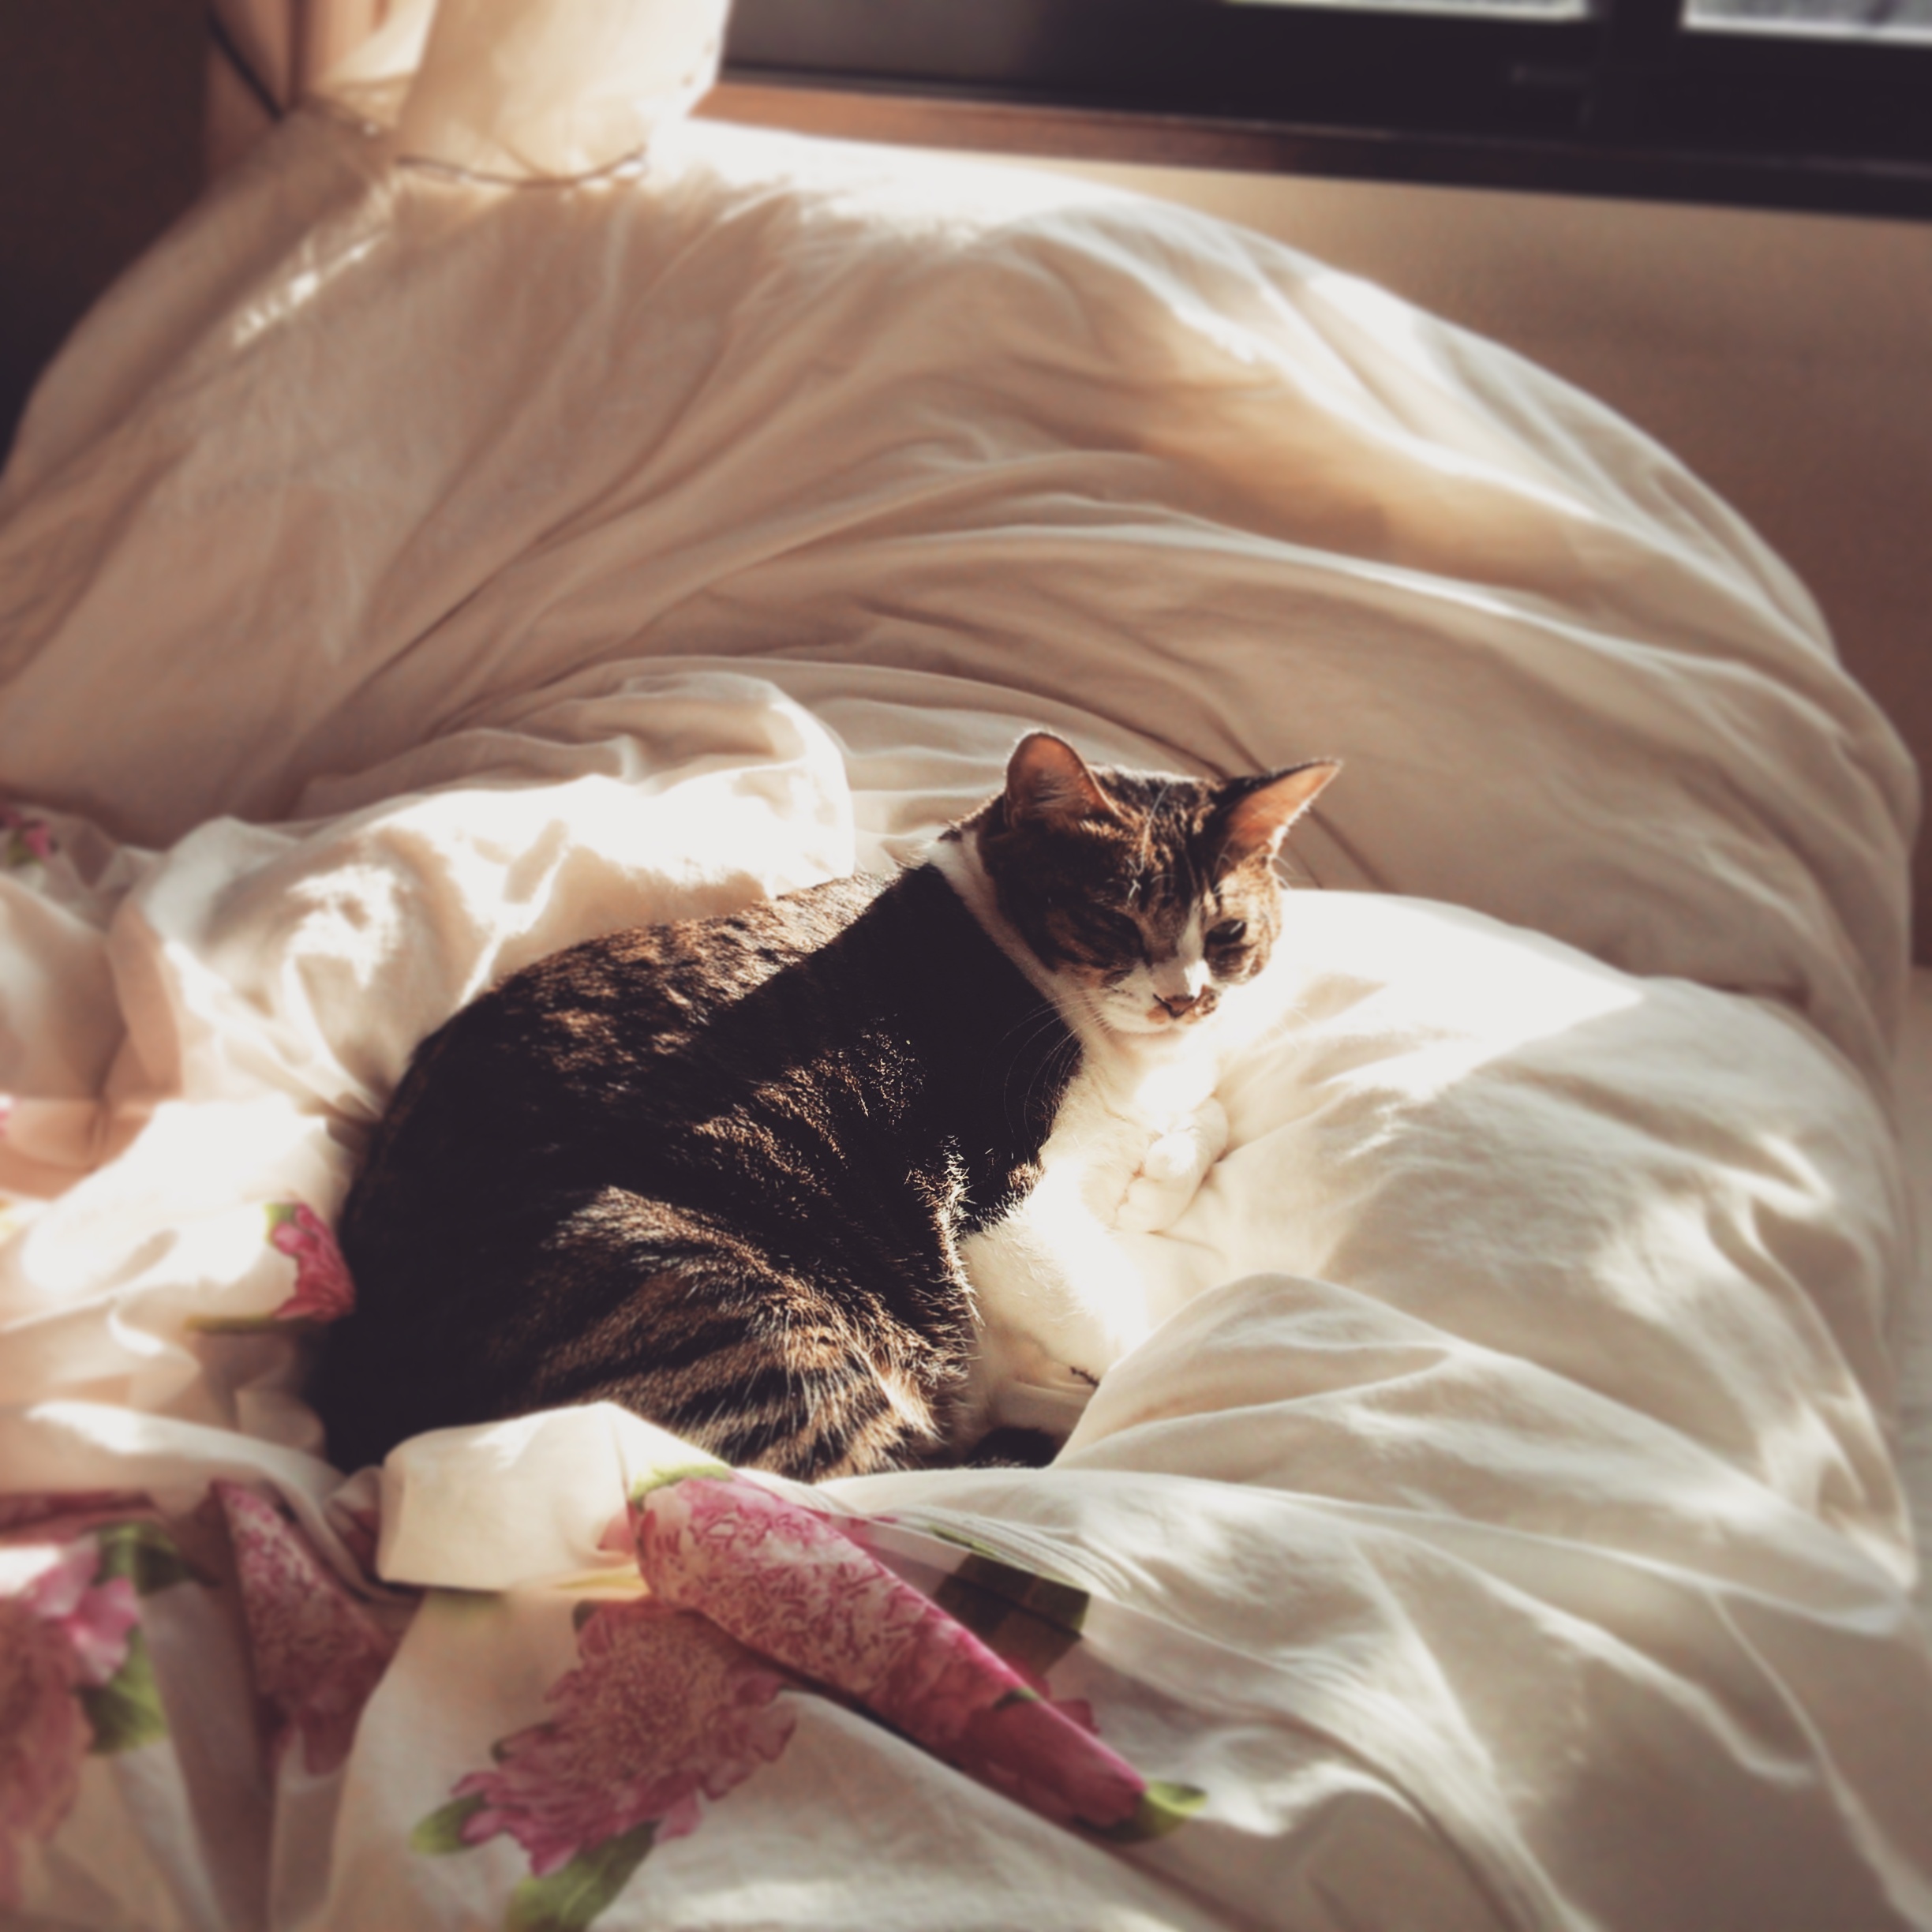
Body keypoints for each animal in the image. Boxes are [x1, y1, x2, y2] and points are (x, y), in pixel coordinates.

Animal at [310, 732, 1337, 1481]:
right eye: (1113, 922)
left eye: (1229, 933)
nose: (1183, 998)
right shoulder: (997, 1189)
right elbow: (1110, 1317)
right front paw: (1159, 1370)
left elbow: (1207, 1114)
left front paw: (1151, 1182)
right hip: (729, 1302)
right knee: (903, 1477)